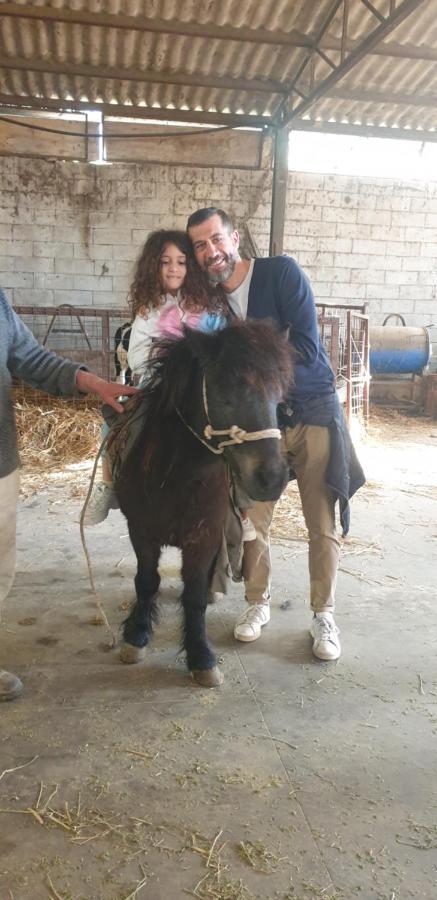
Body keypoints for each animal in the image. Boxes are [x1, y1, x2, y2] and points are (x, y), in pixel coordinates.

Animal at [112, 320, 292, 684]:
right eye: (225, 390)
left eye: (278, 396)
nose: (272, 479)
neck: (174, 477)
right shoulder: (141, 532)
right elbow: (146, 581)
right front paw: (137, 635)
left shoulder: (204, 537)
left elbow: (193, 594)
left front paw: (200, 656)